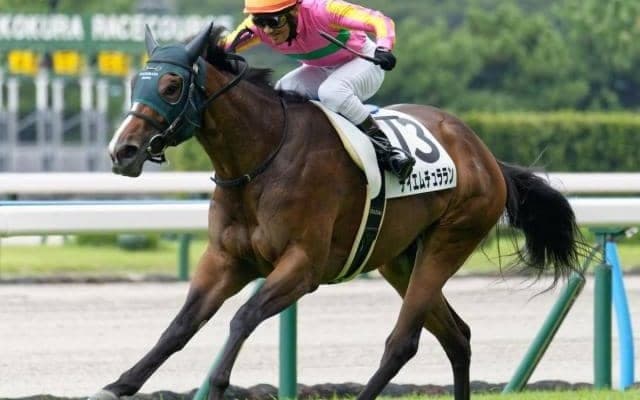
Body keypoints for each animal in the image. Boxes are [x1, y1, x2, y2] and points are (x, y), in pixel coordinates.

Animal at [99, 23, 582, 400]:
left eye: (171, 86)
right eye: (135, 85)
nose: (122, 151)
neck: (261, 159)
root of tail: (484, 154)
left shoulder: (303, 266)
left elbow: (243, 317)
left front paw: (218, 383)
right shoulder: (225, 259)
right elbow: (180, 325)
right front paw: (119, 384)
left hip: (450, 240)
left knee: (403, 342)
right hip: (399, 258)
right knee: (456, 337)